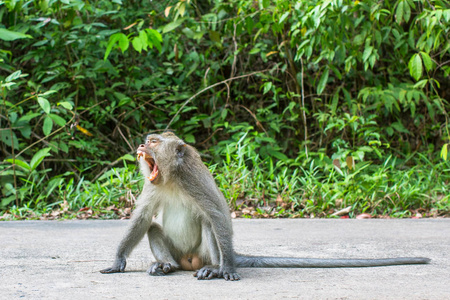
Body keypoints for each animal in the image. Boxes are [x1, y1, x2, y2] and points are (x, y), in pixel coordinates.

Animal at [100, 132, 430, 280]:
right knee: (154, 228)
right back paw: (167, 265)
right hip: (181, 256)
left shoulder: (193, 180)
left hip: (203, 253)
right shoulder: (152, 185)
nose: (141, 145)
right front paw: (118, 261)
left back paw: (215, 268)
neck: (171, 179)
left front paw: (228, 270)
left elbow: (218, 215)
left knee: (209, 224)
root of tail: (190, 261)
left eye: (154, 142)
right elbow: (143, 217)